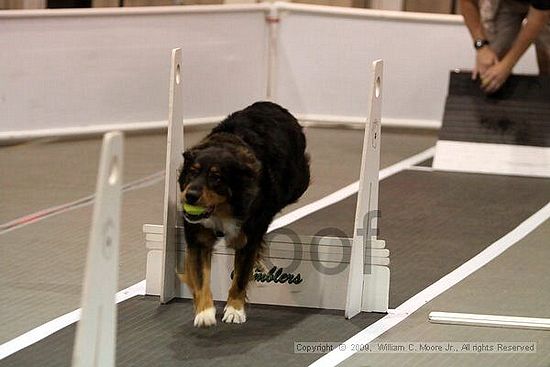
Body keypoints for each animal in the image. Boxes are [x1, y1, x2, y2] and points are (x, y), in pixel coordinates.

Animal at [180, 101, 312, 328]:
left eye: (216, 177)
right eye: (191, 172)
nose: (190, 196)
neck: (224, 208)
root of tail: (273, 105)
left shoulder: (248, 237)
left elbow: (241, 276)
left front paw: (235, 309)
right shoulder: (198, 238)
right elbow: (200, 276)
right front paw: (204, 312)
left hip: (297, 183)